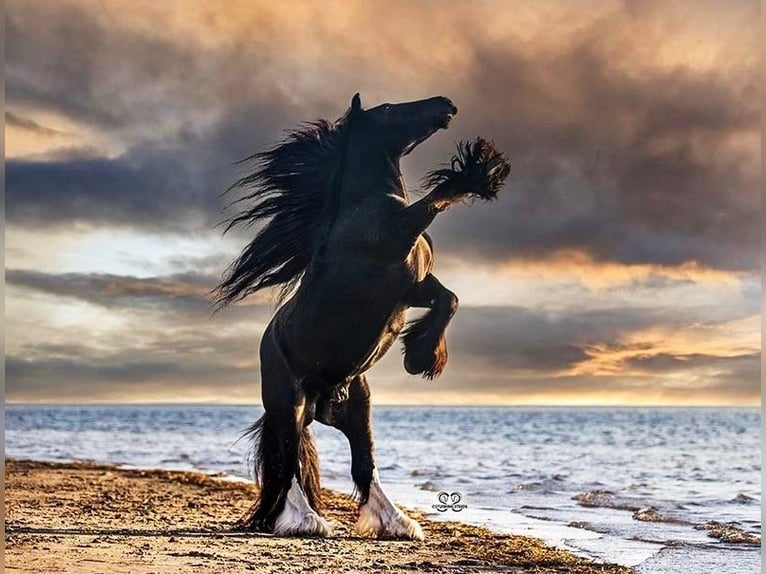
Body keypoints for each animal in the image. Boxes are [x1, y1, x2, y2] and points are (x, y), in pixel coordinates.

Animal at [214, 93, 510, 540]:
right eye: (387, 108)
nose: (445, 103)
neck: (363, 209)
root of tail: (321, 404)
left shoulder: (413, 285)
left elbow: (451, 299)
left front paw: (422, 357)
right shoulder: (399, 240)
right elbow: (436, 199)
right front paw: (478, 171)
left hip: (358, 407)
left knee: (361, 465)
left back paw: (399, 523)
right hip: (289, 405)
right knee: (287, 466)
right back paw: (308, 521)